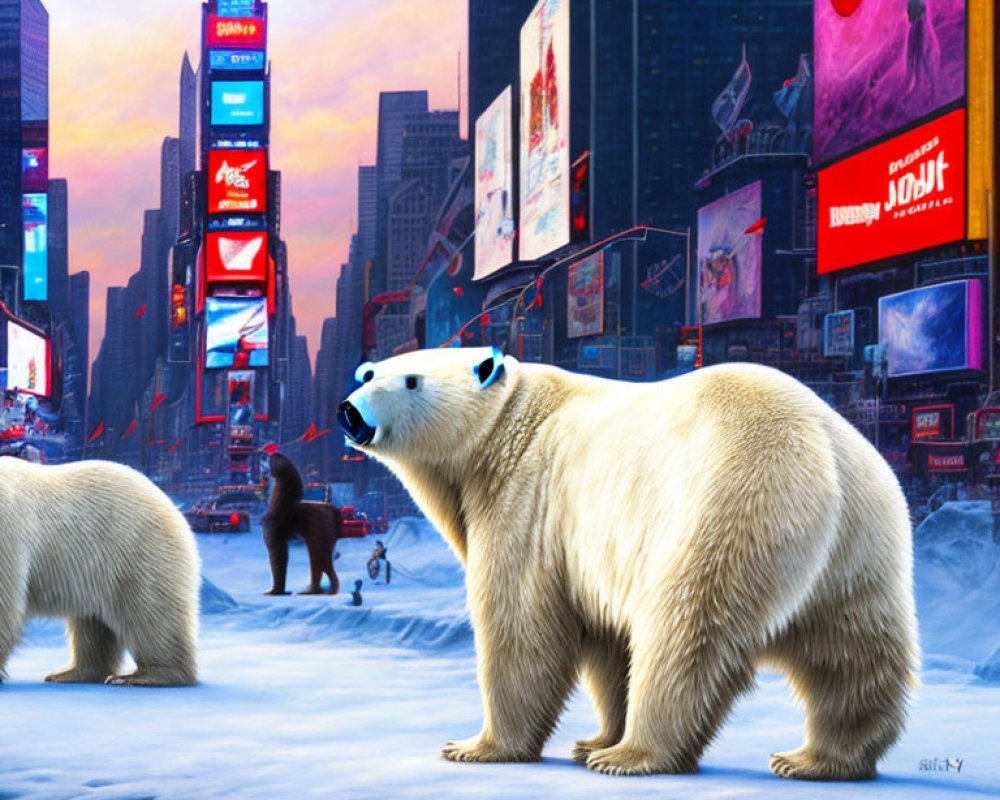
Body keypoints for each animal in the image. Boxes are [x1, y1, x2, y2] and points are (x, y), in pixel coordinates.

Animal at [0, 456, 201, 688]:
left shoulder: (7, 531)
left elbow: (5, 606)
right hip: (95, 571)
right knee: (92, 625)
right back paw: (72, 672)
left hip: (137, 551)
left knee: (150, 614)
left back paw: (142, 675)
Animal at [264, 456, 342, 592]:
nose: (272, 454)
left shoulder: (275, 536)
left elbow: (277, 559)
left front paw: (275, 591)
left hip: (318, 536)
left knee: (321, 564)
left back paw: (314, 590)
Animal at [340, 346, 916, 780]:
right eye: (367, 373)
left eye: (411, 381)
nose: (350, 410)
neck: (511, 425)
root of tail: (819, 449)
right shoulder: (587, 552)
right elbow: (606, 639)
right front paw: (592, 738)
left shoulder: (530, 499)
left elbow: (520, 625)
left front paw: (478, 746)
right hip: (859, 546)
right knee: (851, 651)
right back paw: (819, 759)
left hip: (728, 507)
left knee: (684, 632)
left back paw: (634, 754)